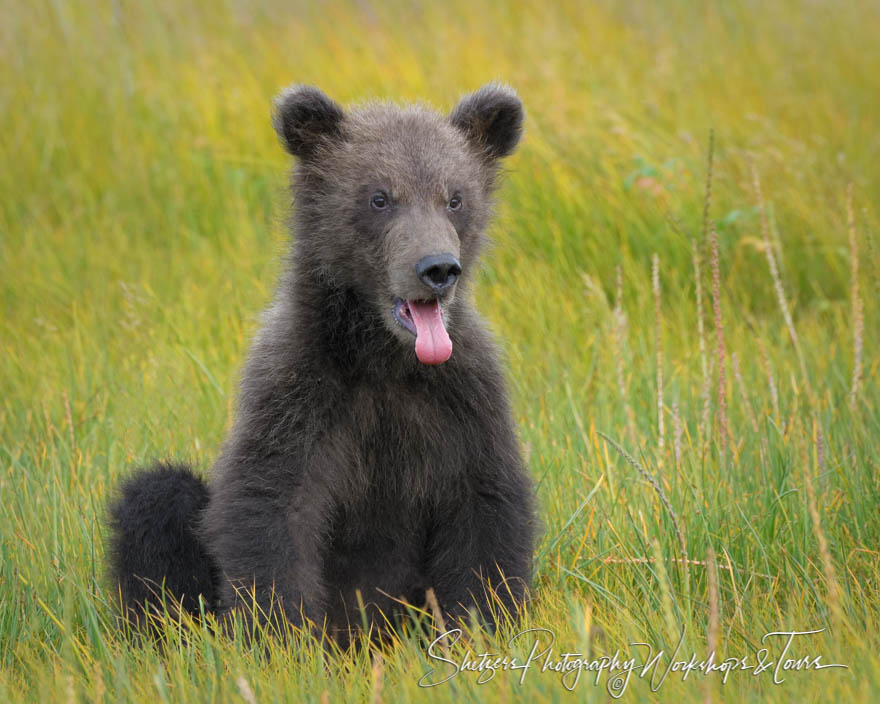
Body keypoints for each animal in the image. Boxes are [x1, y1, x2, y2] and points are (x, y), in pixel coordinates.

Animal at [110, 82, 536, 644]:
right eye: (379, 197)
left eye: (455, 197)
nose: (438, 268)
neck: (383, 357)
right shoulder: (297, 392)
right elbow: (272, 506)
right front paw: (281, 636)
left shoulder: (462, 398)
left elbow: (485, 509)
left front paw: (481, 624)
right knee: (158, 497)